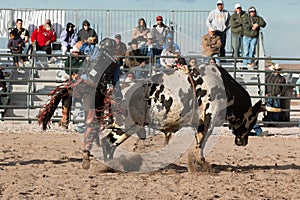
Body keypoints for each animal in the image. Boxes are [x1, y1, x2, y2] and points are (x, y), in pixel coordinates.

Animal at [97, 63, 264, 170]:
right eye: (253, 120)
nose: (243, 142)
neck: (224, 86)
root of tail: (115, 89)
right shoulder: (209, 119)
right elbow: (201, 142)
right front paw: (201, 164)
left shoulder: (200, 123)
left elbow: (199, 142)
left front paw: (200, 162)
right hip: (126, 125)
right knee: (107, 142)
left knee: (109, 143)